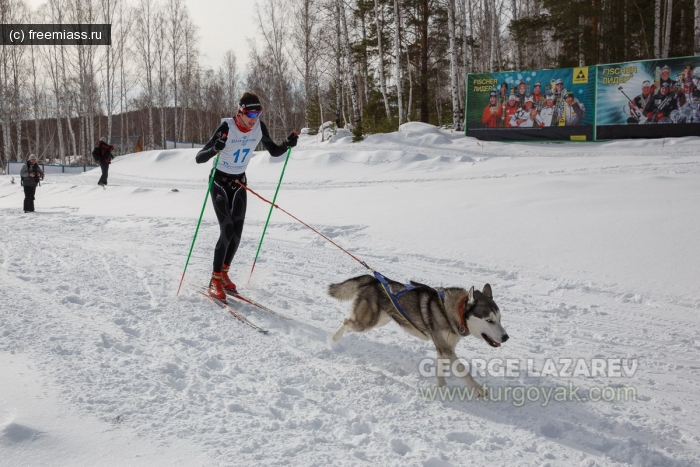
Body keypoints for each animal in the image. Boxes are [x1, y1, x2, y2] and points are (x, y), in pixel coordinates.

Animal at [330, 274, 508, 394]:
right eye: (489, 320)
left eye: (500, 319)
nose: (506, 337)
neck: (453, 311)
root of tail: (373, 279)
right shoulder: (446, 349)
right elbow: (462, 370)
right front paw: (477, 389)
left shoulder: (443, 350)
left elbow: (441, 373)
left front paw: (442, 389)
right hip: (366, 323)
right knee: (346, 321)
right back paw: (333, 340)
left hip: (380, 321)